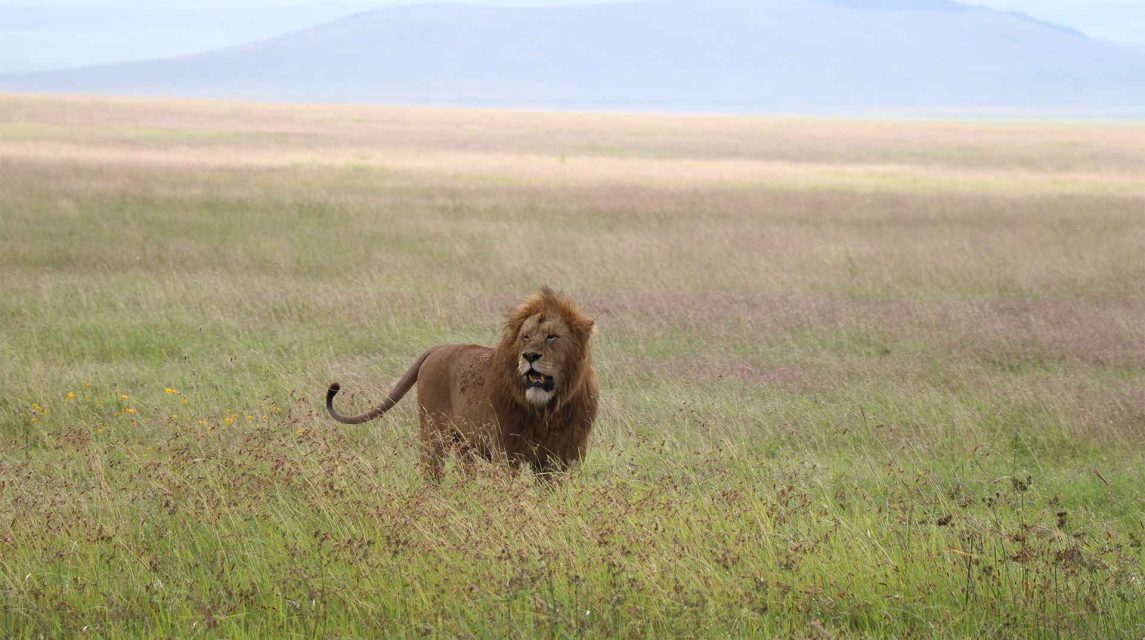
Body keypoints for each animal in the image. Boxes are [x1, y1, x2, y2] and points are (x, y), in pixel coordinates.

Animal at [327, 288, 599, 478]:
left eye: (552, 336)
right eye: (525, 337)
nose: (530, 356)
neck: (547, 410)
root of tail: (438, 348)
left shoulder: (558, 456)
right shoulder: (506, 452)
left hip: (464, 445)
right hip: (432, 434)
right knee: (431, 473)